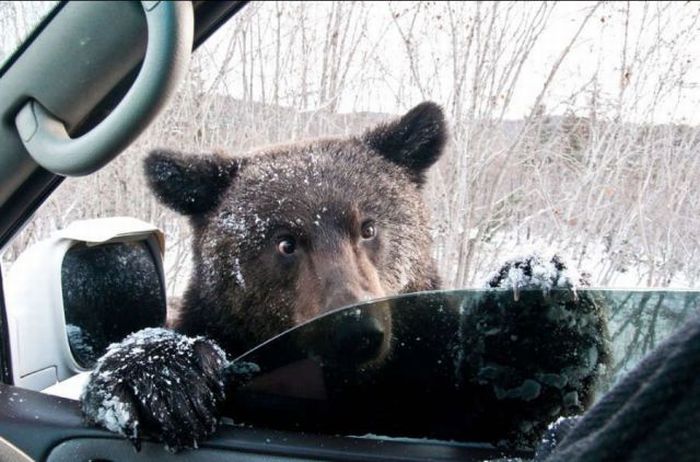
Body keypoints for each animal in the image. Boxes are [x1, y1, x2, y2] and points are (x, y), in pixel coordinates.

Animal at [80, 101, 608, 452]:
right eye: (285, 241)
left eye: (368, 226)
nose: (354, 331)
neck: (343, 390)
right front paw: (158, 377)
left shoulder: (426, 384)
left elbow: (513, 413)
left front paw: (539, 317)